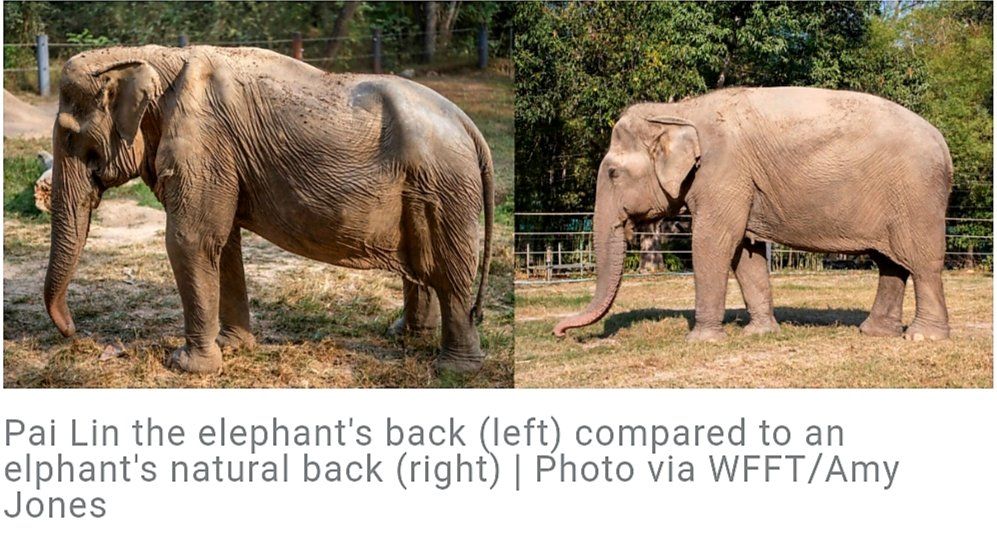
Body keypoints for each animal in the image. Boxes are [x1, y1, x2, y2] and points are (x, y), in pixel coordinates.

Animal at [44, 45, 494, 374]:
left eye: (69, 137)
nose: (76, 333)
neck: (152, 57)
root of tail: (470, 126)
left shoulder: (204, 142)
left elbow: (190, 240)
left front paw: (187, 366)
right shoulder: (222, 159)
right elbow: (222, 244)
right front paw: (232, 346)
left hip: (445, 188)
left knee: (450, 273)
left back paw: (454, 370)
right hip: (428, 189)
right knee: (424, 265)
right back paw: (405, 337)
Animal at [554, 87, 952, 342]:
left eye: (612, 173)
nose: (559, 332)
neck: (681, 111)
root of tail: (945, 147)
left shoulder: (724, 172)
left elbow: (714, 242)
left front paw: (702, 341)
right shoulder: (741, 183)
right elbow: (745, 251)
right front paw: (758, 333)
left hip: (917, 195)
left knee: (921, 261)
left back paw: (923, 338)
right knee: (891, 262)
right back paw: (875, 333)